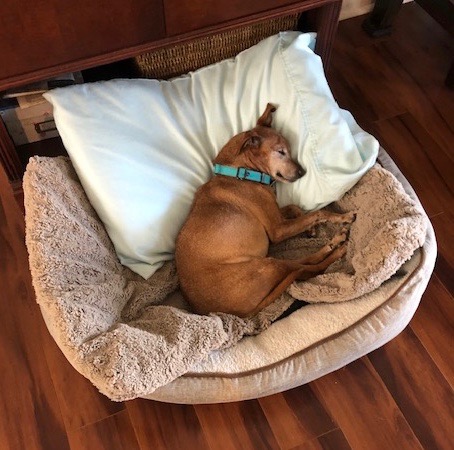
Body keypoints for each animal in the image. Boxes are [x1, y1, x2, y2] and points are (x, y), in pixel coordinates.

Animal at [175, 103, 354, 318]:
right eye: (281, 152)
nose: (302, 172)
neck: (241, 173)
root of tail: (239, 314)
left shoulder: (276, 215)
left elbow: (295, 208)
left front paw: (310, 228)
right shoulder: (277, 230)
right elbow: (317, 213)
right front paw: (342, 217)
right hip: (269, 264)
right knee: (307, 267)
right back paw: (337, 246)